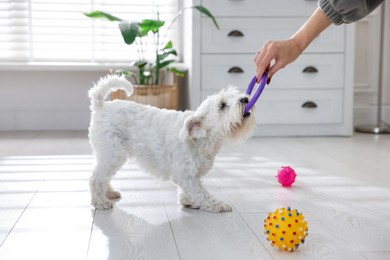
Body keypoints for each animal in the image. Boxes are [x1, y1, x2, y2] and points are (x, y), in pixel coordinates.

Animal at [88, 75, 256, 213]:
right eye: (222, 105)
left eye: (235, 94)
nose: (245, 99)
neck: (199, 138)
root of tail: (101, 106)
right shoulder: (186, 174)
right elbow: (200, 193)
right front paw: (217, 204)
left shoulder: (191, 175)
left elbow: (191, 191)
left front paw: (187, 200)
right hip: (112, 153)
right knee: (96, 178)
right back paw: (100, 201)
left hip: (107, 154)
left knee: (103, 176)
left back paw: (109, 193)